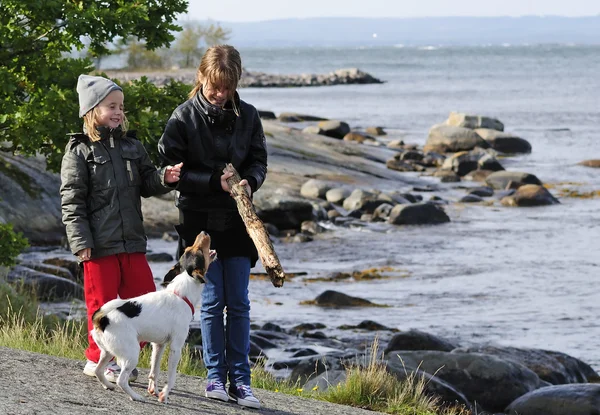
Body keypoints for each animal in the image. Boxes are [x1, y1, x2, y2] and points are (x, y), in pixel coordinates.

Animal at [90, 231, 217, 404]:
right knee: (121, 380)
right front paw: (164, 395)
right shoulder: (176, 347)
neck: (180, 293)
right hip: (131, 354)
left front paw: (154, 390)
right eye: (199, 250)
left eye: (189, 249)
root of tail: (102, 318)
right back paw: (135, 396)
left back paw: (108, 385)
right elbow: (171, 377)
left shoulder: (158, 345)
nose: (204, 232)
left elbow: (154, 371)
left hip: (107, 352)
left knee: (98, 370)